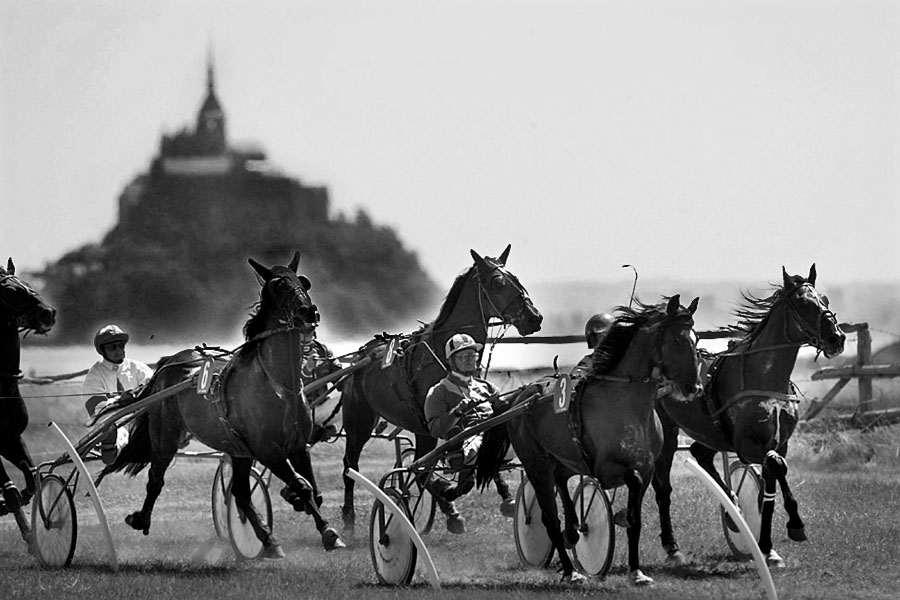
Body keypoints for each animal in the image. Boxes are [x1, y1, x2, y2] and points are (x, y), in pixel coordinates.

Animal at [99, 251, 344, 556]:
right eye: (277, 285)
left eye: (303, 282)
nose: (307, 311)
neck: (278, 384)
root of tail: (170, 362)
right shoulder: (268, 449)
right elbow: (303, 486)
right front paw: (327, 530)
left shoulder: (297, 446)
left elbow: (312, 490)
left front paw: (324, 527)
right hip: (165, 437)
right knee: (156, 478)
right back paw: (141, 518)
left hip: (237, 450)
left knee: (240, 493)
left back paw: (268, 540)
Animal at [342, 246, 544, 536]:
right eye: (497, 283)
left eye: (515, 277)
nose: (534, 318)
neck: (443, 354)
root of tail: (362, 355)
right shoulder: (438, 423)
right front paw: (450, 493)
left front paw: (505, 496)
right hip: (359, 422)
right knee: (352, 465)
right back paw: (349, 519)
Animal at [474, 296, 700, 584]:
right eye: (677, 340)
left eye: (695, 338)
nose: (694, 388)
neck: (626, 403)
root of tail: (521, 396)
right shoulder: (607, 469)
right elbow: (630, 482)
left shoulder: (648, 468)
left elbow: (636, 518)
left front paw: (636, 571)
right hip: (536, 465)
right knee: (549, 517)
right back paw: (571, 570)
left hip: (564, 459)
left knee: (561, 481)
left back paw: (572, 532)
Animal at [652, 266, 844, 568]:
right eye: (803, 303)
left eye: (824, 298)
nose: (837, 338)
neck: (766, 378)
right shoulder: (746, 446)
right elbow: (774, 467)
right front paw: (786, 529)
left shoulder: (779, 442)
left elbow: (775, 476)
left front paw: (771, 545)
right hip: (668, 431)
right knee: (663, 487)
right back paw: (673, 546)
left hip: (710, 432)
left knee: (701, 454)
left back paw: (732, 508)